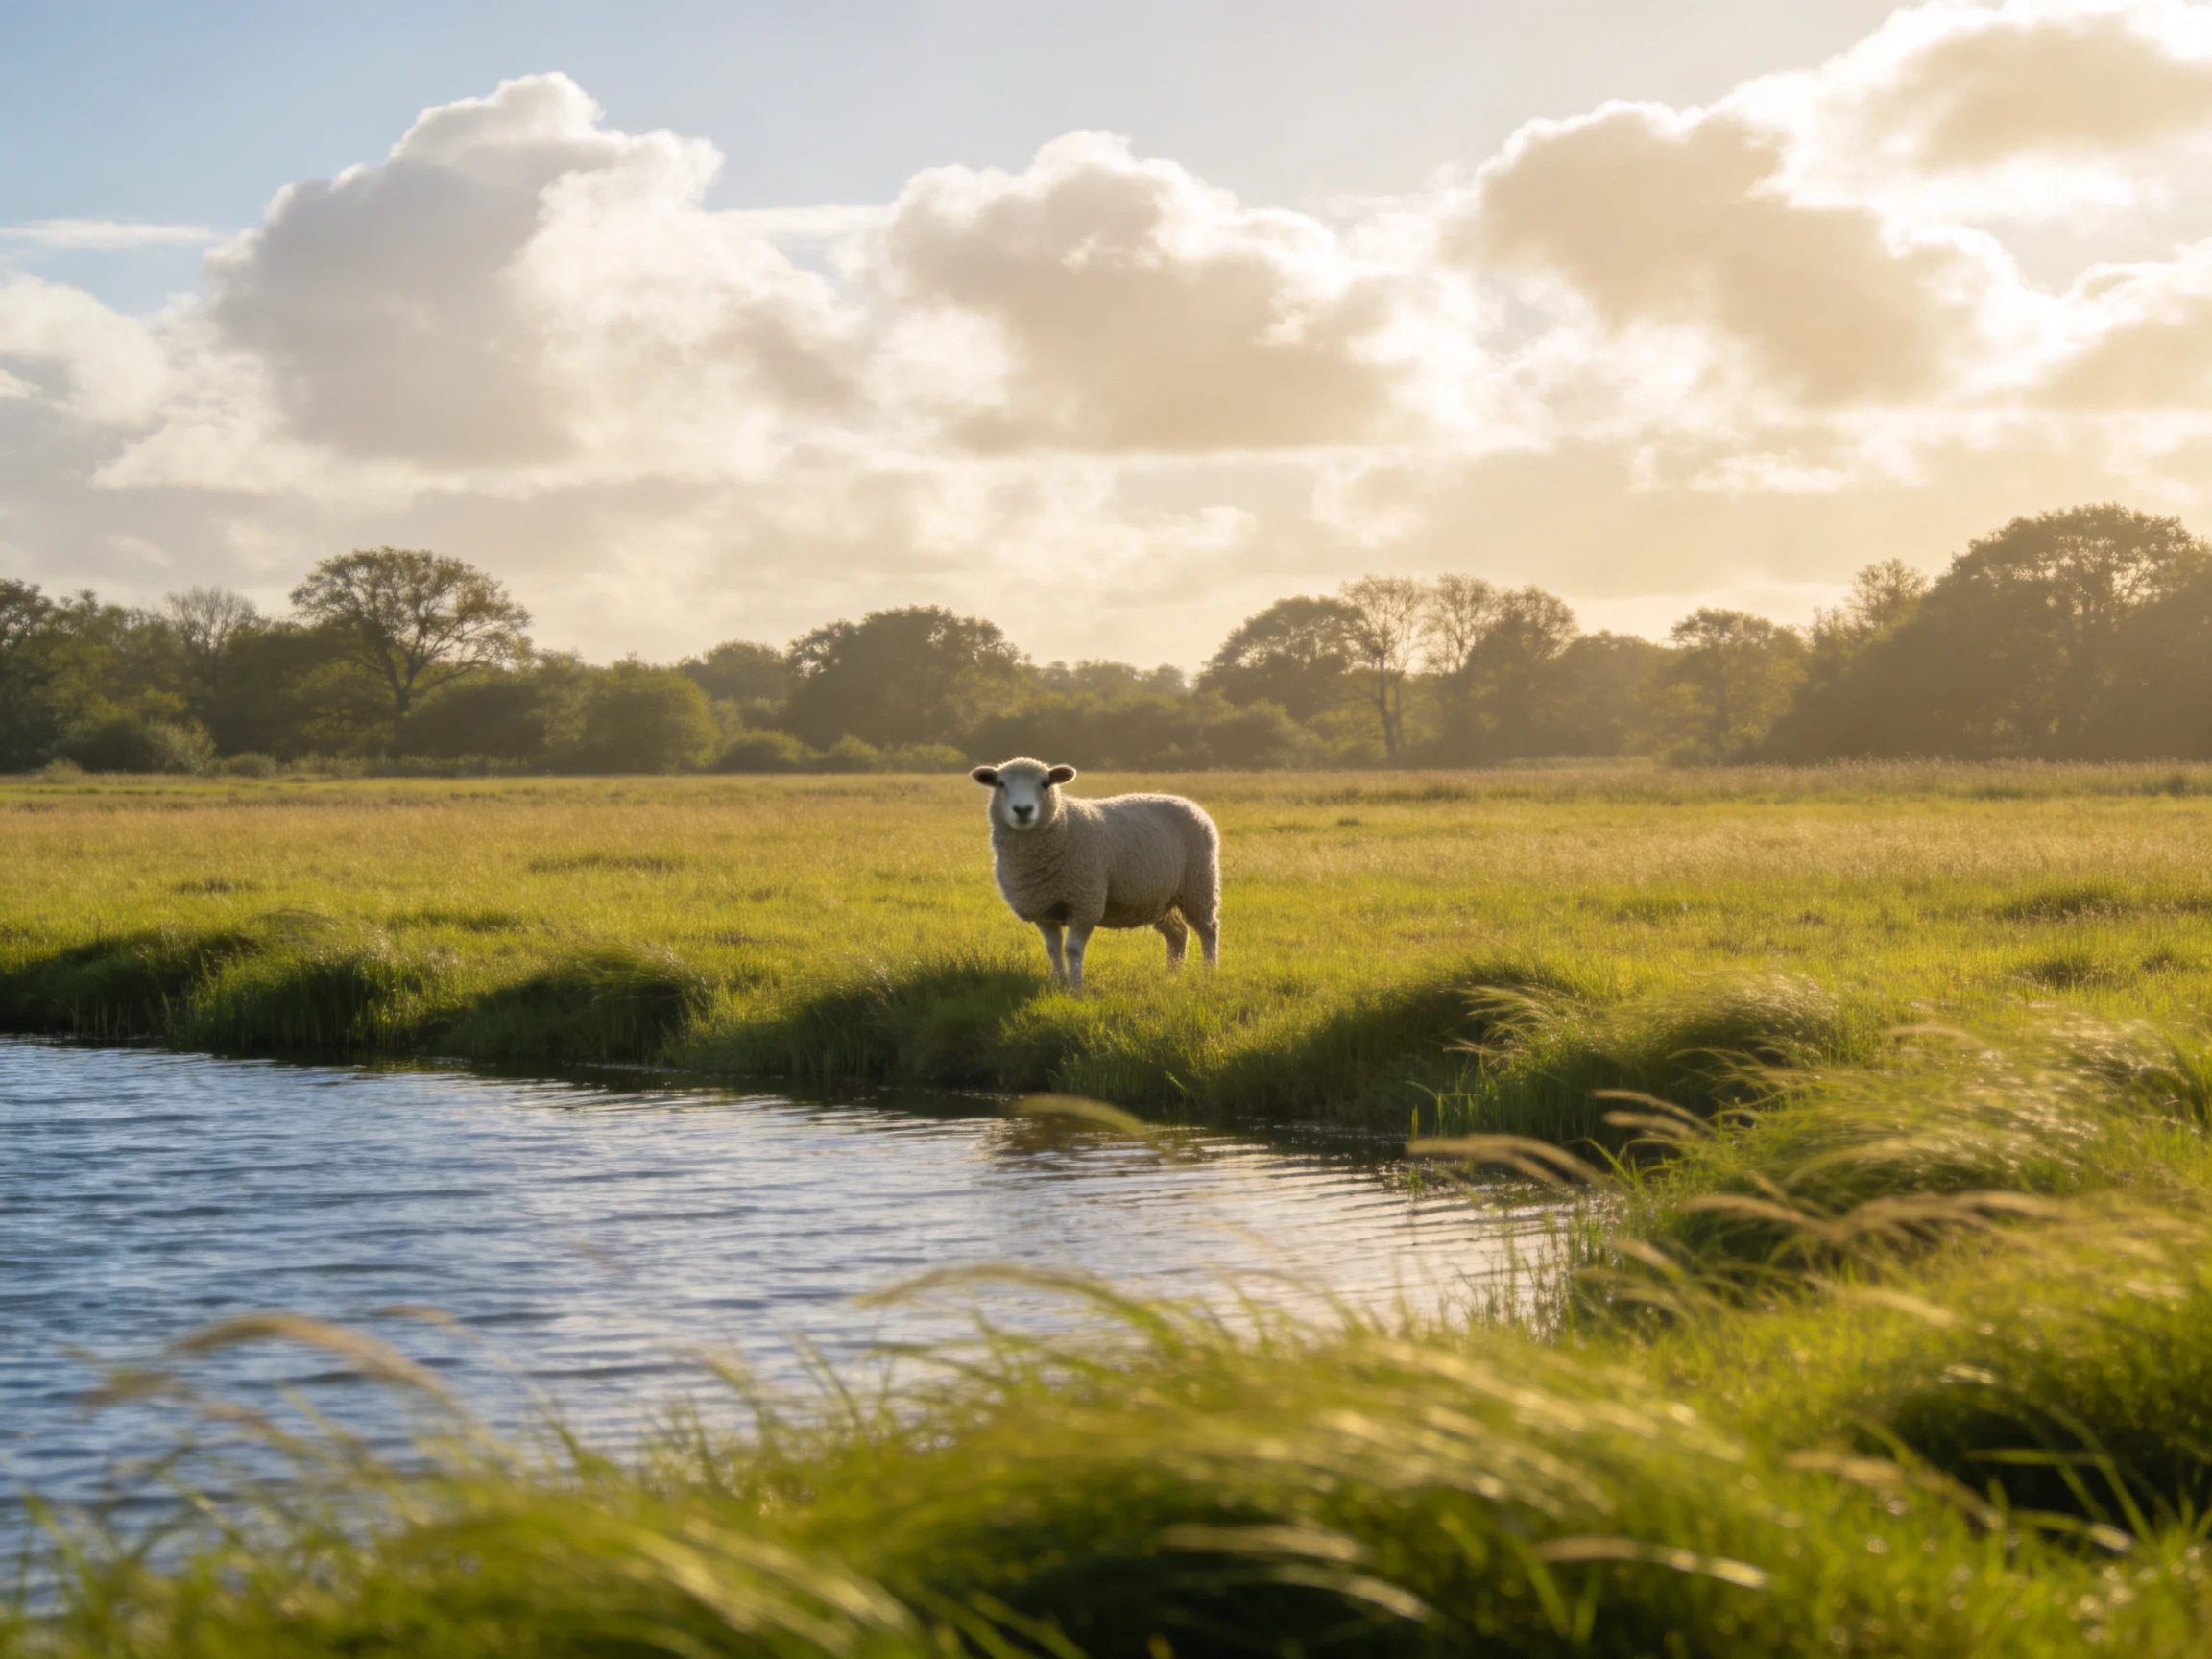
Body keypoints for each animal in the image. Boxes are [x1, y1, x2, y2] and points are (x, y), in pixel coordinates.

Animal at [968, 757, 1219, 991]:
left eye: (1046, 783)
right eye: (1000, 784)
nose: (1023, 810)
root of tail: (1188, 802)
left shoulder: (1085, 904)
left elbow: (1071, 949)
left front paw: (1075, 988)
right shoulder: (1042, 908)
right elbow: (1053, 949)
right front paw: (1058, 982)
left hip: (1199, 885)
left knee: (1208, 930)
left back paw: (1209, 973)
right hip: (1159, 899)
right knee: (1178, 934)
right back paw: (1172, 976)